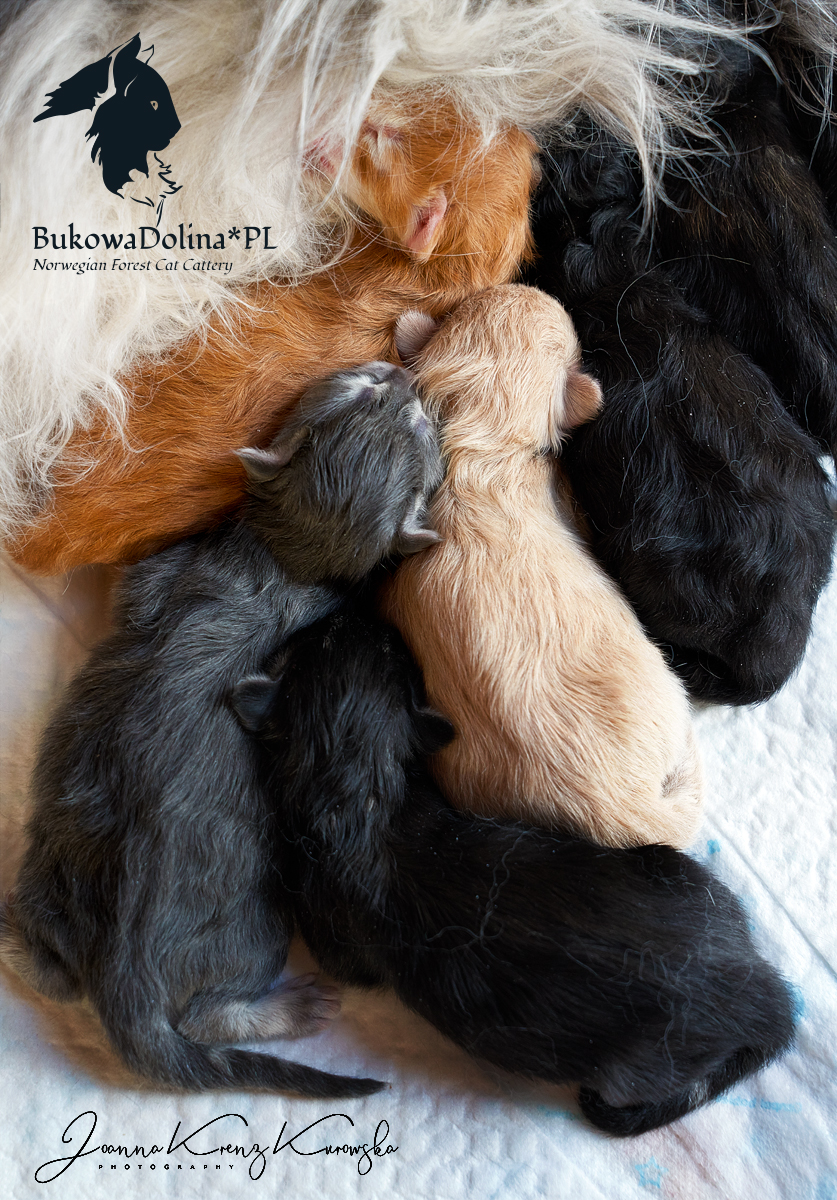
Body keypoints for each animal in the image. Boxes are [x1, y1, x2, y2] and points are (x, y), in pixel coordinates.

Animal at [0, 360, 442, 1096]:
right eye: (366, 395)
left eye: (415, 424)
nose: (403, 378)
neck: (294, 561)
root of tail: (125, 985)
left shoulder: (162, 572)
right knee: (60, 975)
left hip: (246, 929)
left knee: (196, 1013)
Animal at [232, 604, 796, 1137]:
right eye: (333, 638)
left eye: (388, 648)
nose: (358, 612)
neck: (353, 790)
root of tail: (764, 999)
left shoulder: (336, 939)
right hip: (676, 869)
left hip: (635, 1067)